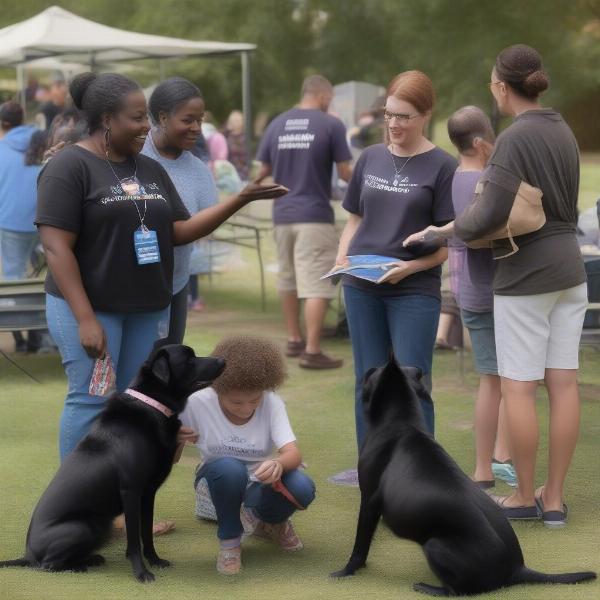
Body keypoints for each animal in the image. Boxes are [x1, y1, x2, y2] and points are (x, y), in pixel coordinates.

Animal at [0, 344, 225, 584]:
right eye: (189, 359)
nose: (223, 361)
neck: (151, 406)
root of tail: (28, 554)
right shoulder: (131, 492)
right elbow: (134, 539)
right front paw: (142, 573)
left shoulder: (148, 493)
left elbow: (147, 533)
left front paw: (155, 560)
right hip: (81, 527)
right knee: (48, 565)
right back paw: (79, 566)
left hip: (99, 526)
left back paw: (91, 559)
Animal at [332, 356, 596, 596]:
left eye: (368, 374)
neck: (400, 422)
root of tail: (517, 569)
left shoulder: (368, 500)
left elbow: (360, 545)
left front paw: (346, 571)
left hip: (435, 545)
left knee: (457, 591)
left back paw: (428, 587)